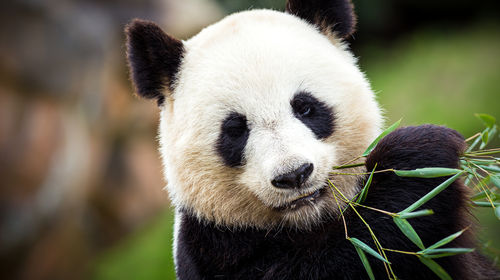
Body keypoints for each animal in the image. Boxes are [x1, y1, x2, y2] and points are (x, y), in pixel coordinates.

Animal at [124, 0, 500, 278]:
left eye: (304, 107)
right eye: (235, 129)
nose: (293, 175)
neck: (307, 221)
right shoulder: (211, 245)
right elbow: (343, 258)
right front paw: (419, 156)